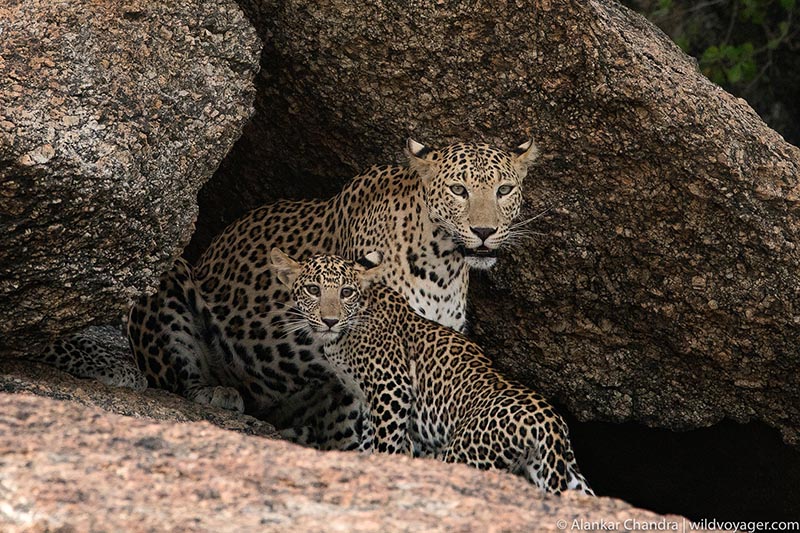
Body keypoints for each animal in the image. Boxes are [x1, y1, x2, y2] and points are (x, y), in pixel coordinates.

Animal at [126, 137, 539, 447]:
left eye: (504, 190)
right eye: (458, 190)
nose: (484, 231)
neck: (442, 263)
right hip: (167, 275)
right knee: (173, 375)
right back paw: (216, 391)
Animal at [270, 248, 594, 495]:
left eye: (346, 292)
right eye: (313, 290)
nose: (330, 320)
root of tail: (549, 423)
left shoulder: (392, 388)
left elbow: (386, 441)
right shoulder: (367, 399)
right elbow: (370, 438)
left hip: (468, 452)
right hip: (565, 472)